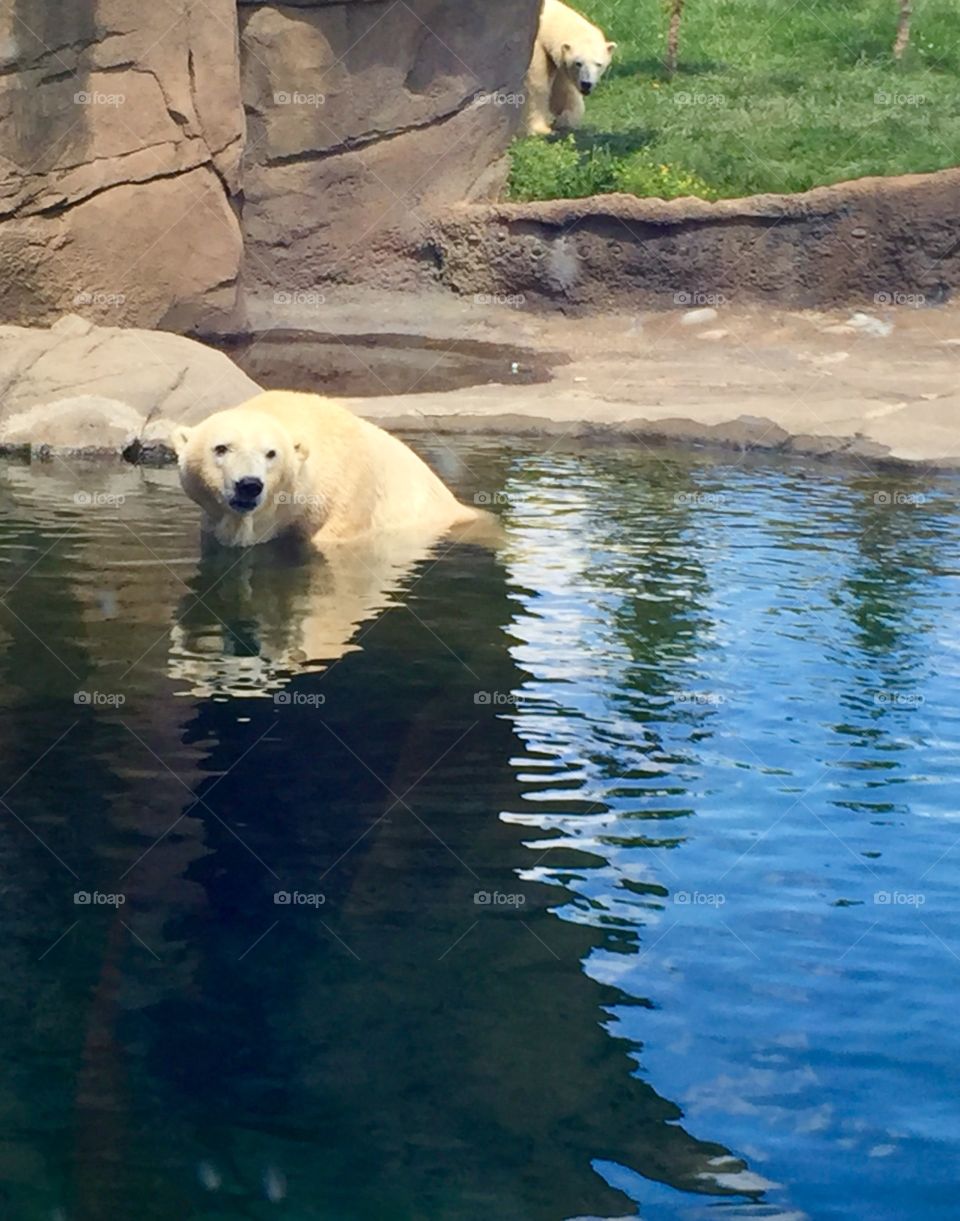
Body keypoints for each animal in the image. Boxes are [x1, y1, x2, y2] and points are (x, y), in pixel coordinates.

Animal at [522, 0, 613, 137]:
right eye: (578, 63)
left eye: (598, 64)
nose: (586, 84)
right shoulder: (536, 48)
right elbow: (537, 85)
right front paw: (542, 129)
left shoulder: (558, 64)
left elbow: (563, 91)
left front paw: (563, 122)